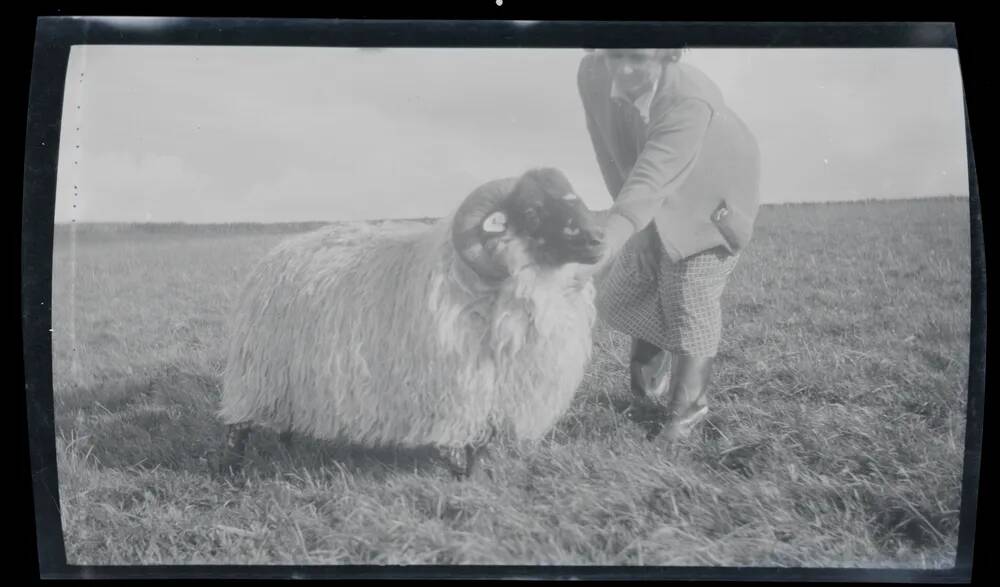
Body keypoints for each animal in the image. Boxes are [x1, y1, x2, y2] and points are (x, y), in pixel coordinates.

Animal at [218, 168, 604, 480]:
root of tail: (278, 252)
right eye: (532, 212)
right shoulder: (457, 392)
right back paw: (232, 472)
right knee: (238, 427)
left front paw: (477, 480)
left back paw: (289, 448)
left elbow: (481, 446)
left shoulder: (496, 394)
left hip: (293, 377)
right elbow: (459, 445)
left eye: (577, 199)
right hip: (257, 375)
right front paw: (460, 480)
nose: (597, 240)